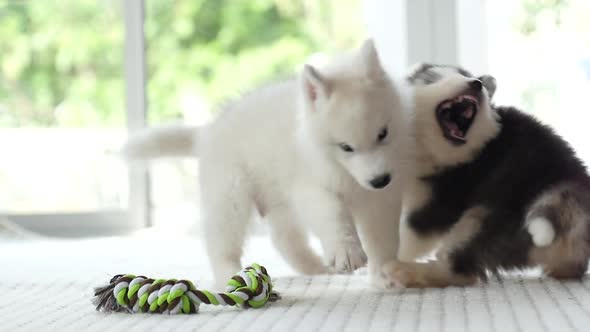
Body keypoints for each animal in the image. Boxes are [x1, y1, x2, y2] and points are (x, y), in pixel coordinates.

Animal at [382, 63, 590, 286]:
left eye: (467, 76)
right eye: (433, 80)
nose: (476, 83)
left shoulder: (439, 197)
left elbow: (409, 233)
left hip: (489, 213)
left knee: (460, 268)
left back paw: (403, 270)